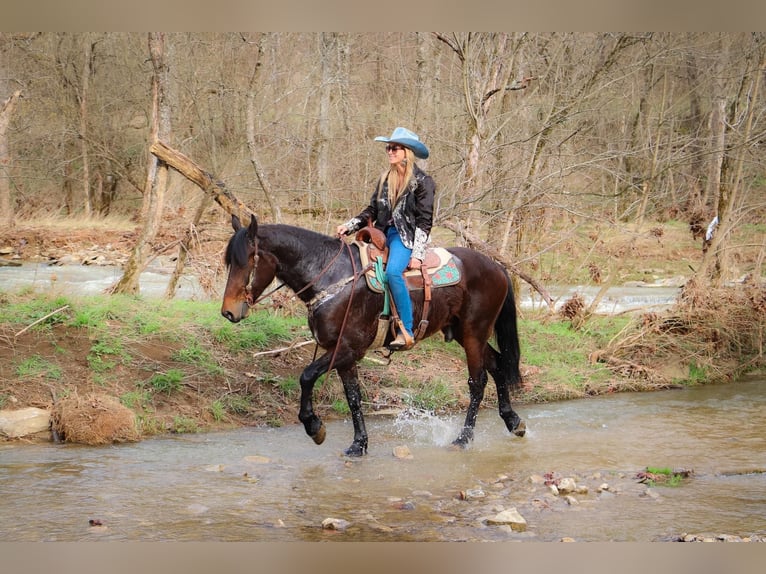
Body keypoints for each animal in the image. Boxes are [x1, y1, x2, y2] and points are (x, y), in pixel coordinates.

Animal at [222, 216, 528, 460]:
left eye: (247, 261)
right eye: (230, 263)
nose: (228, 311)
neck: (332, 278)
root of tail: (496, 267)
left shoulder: (348, 349)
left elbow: (306, 377)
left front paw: (314, 427)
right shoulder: (342, 355)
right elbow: (353, 397)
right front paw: (359, 445)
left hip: (474, 333)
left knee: (478, 382)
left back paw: (463, 439)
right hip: (467, 335)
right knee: (498, 365)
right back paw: (514, 422)